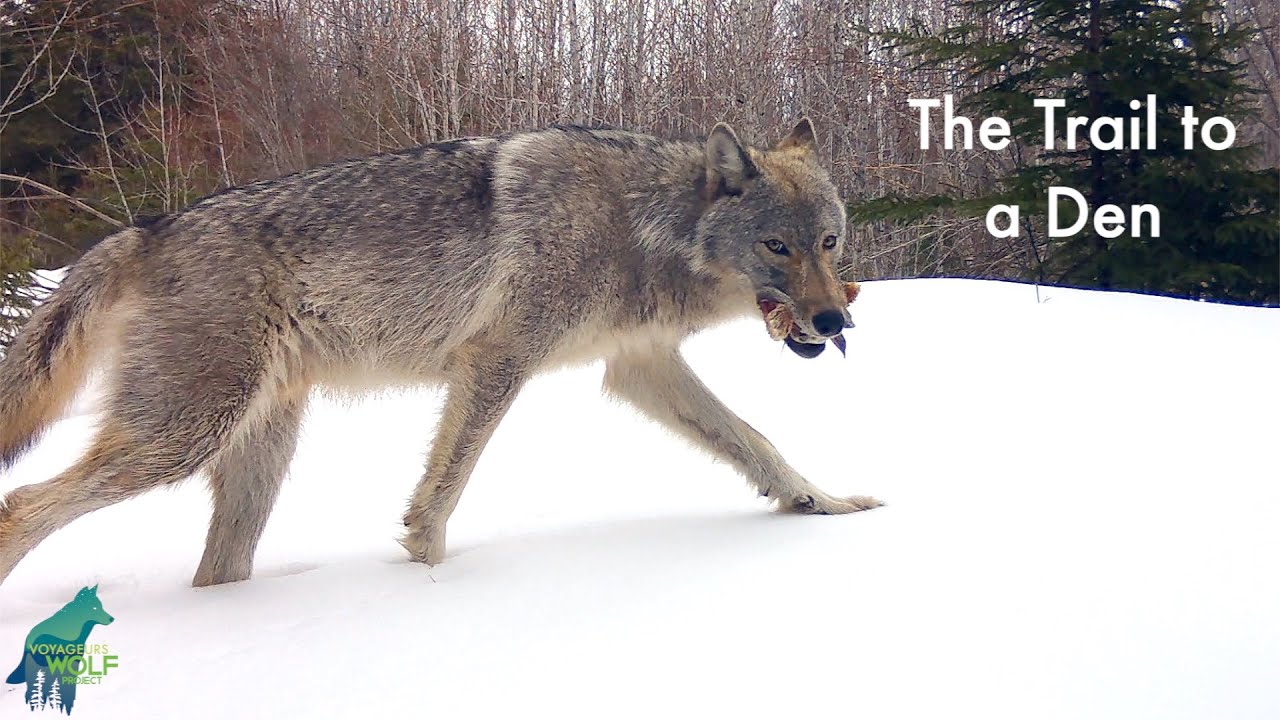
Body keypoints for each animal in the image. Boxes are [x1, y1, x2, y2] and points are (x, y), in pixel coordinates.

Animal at [0, 119, 880, 588]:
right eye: (775, 247)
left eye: (830, 242)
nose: (836, 319)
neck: (640, 225)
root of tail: (143, 230)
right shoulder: (498, 359)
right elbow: (444, 489)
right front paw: (426, 582)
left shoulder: (640, 365)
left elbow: (756, 442)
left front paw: (821, 503)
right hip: (180, 439)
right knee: (23, 503)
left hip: (253, 459)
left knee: (216, 571)